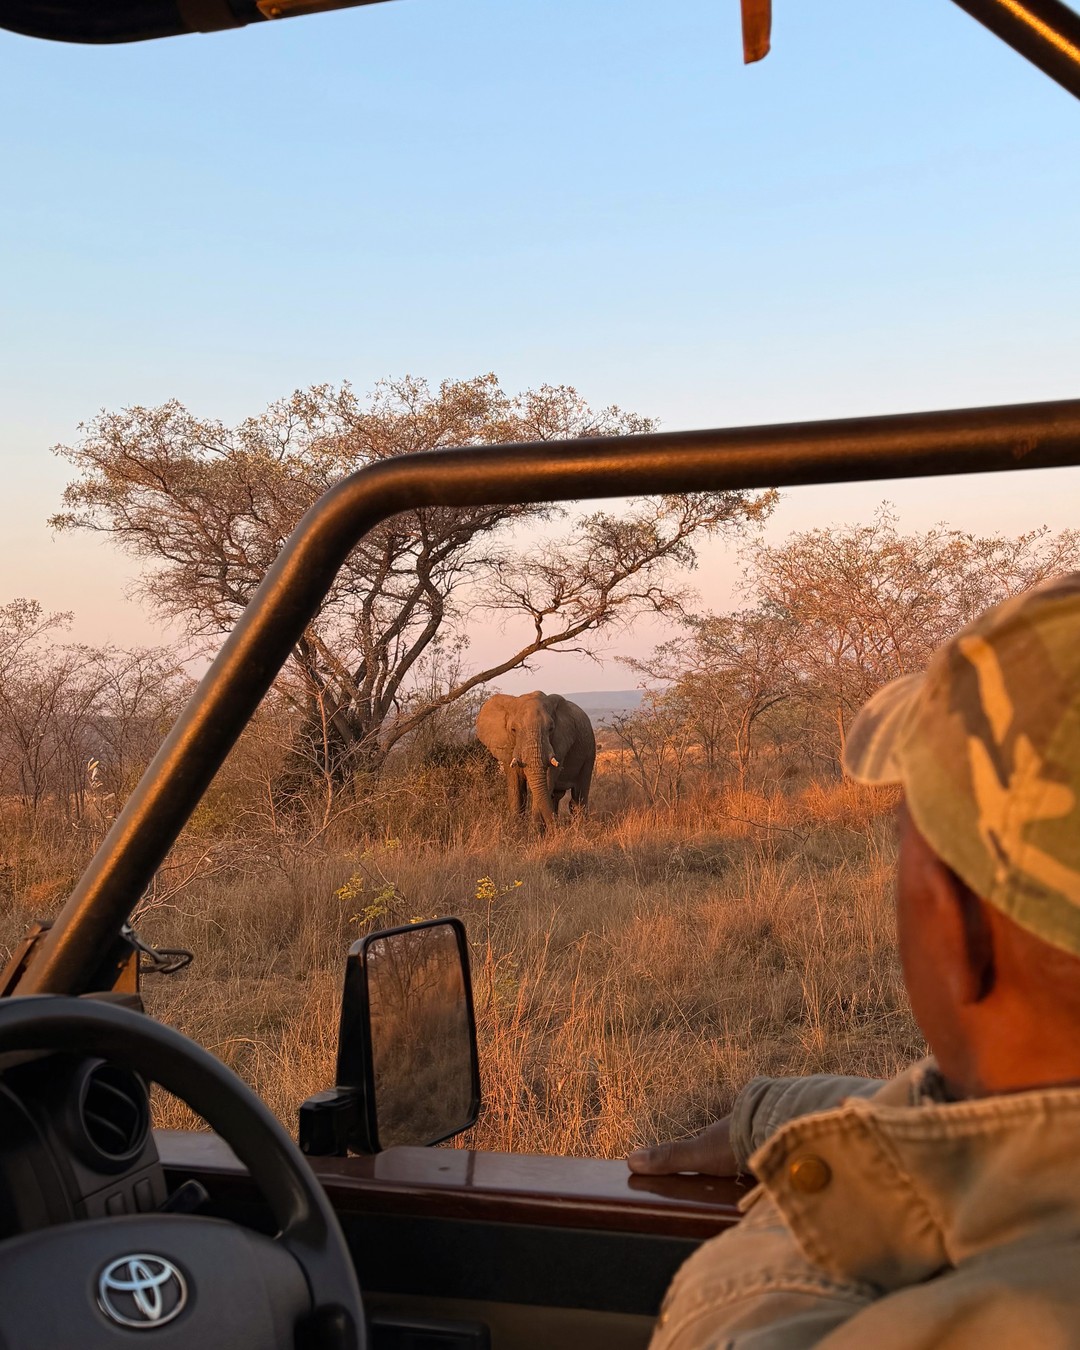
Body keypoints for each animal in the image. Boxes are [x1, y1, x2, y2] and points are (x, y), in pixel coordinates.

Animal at [475, 691, 596, 831]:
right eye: (513, 730)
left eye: (551, 729)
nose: (558, 828)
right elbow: (516, 787)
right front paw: (517, 831)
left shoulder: (559, 744)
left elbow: (547, 781)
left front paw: (536, 832)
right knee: (557, 797)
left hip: (589, 751)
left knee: (578, 796)